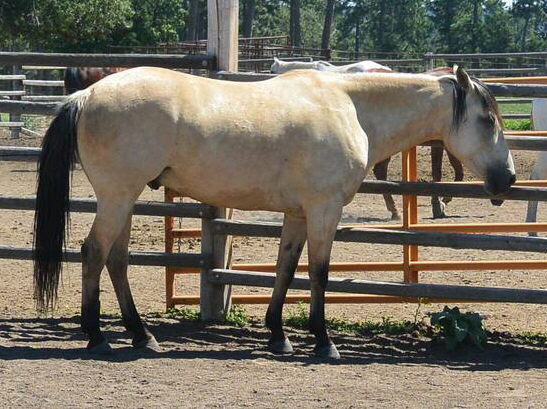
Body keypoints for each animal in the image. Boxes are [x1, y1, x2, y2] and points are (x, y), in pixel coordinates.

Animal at [33, 66, 515, 359]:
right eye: (488, 120)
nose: (506, 179)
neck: (351, 109)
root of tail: (87, 93)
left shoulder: (298, 214)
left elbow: (285, 269)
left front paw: (279, 336)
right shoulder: (323, 210)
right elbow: (319, 273)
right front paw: (323, 342)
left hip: (125, 199)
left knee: (116, 260)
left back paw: (141, 335)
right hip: (118, 196)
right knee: (94, 253)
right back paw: (97, 337)